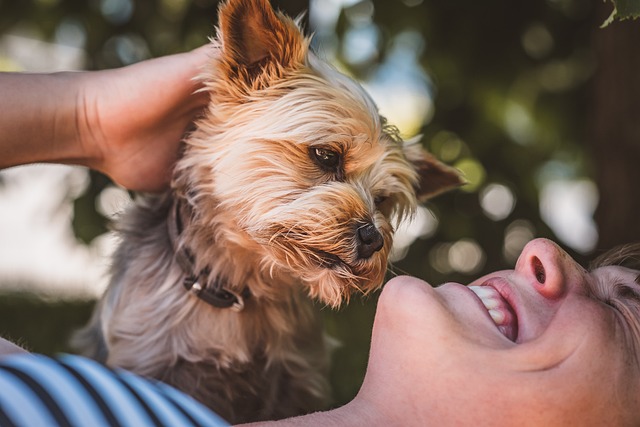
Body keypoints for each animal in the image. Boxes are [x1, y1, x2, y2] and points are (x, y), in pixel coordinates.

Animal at [75, 0, 462, 422]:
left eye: (384, 201)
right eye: (326, 155)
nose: (373, 238)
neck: (242, 287)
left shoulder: (295, 381)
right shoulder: (151, 363)